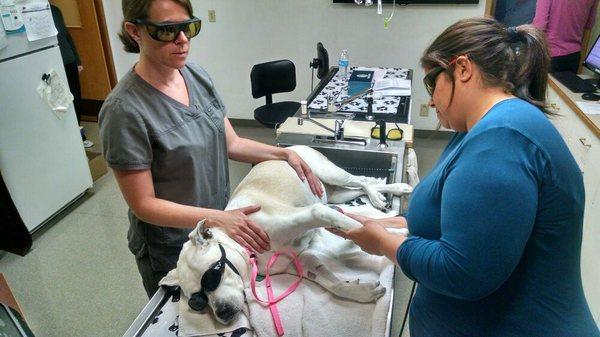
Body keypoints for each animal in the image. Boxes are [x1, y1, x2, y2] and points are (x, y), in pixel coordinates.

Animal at [159, 144, 412, 322]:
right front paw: (359, 291)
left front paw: (391, 233)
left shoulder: (314, 213)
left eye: (212, 275)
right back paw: (384, 192)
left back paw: (386, 194)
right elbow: (332, 284)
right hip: (334, 193)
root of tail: (289, 148)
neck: (245, 248)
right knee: (359, 187)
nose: (222, 313)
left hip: (329, 174)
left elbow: (350, 224)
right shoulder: (301, 260)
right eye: (196, 301)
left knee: (360, 180)